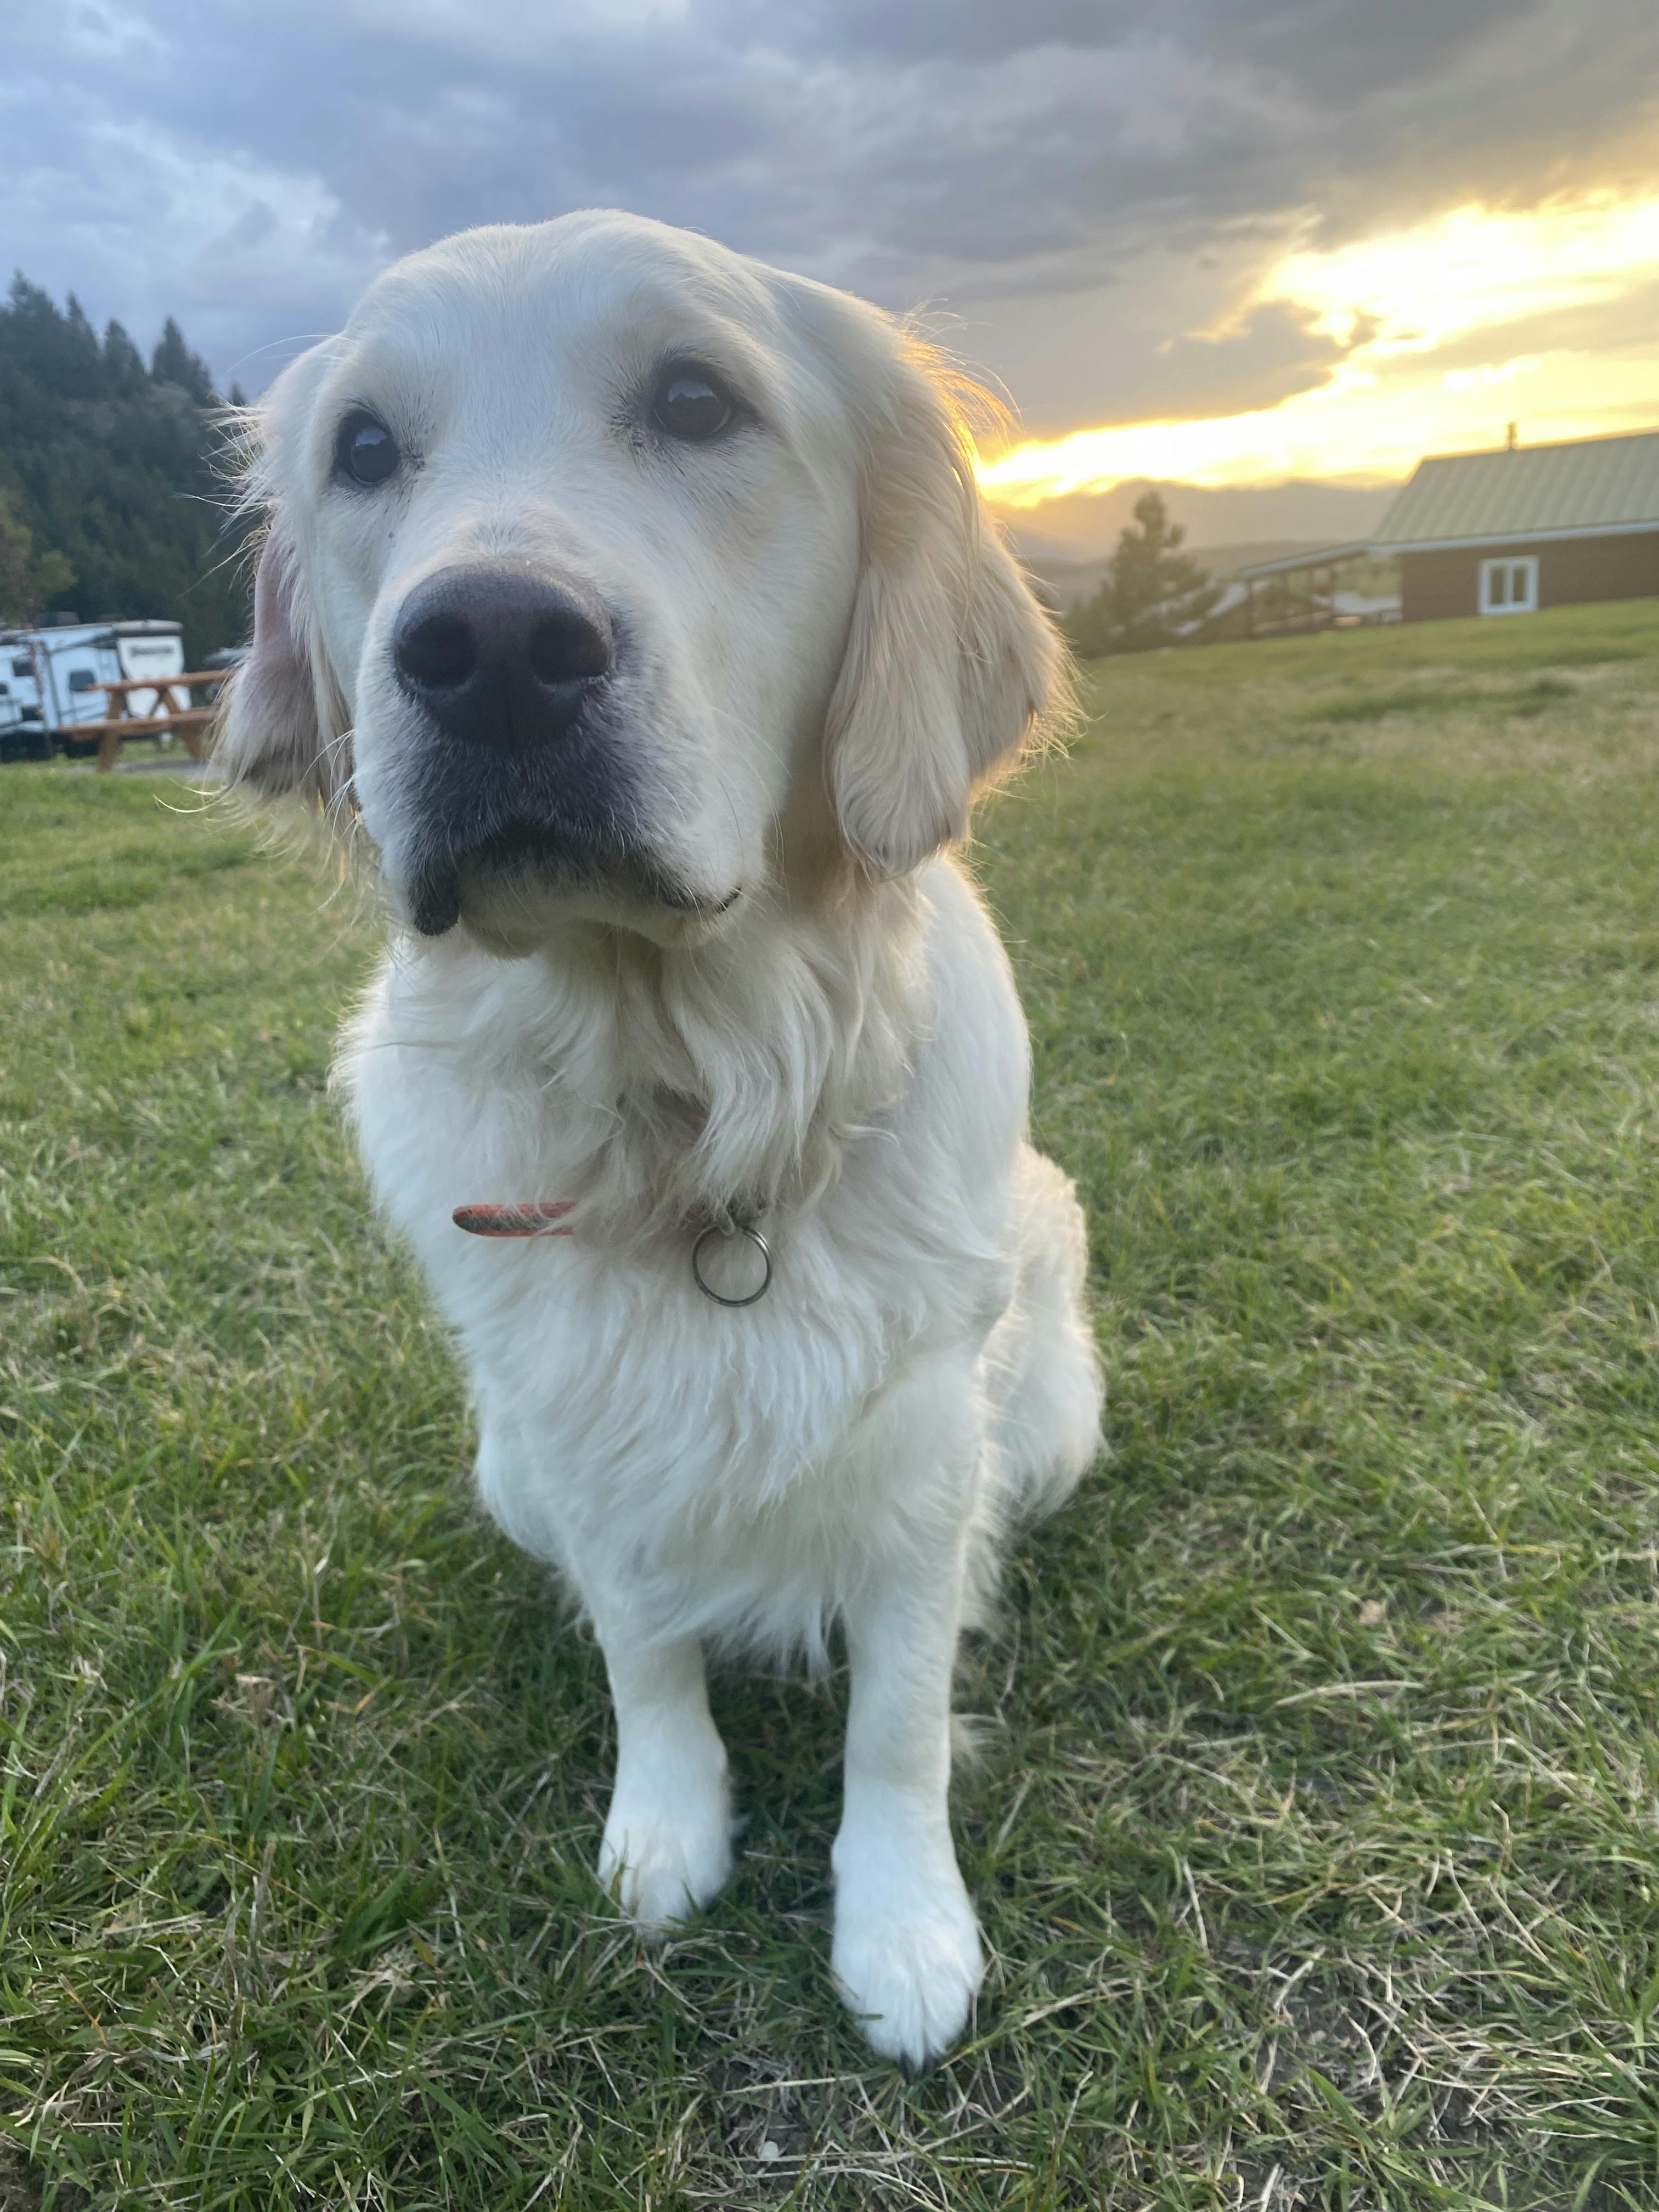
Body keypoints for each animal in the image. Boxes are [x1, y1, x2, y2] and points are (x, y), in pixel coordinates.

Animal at [221, 216, 1106, 2061]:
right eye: (364, 448)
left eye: (698, 402)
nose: (487, 645)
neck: (687, 1101)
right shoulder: (576, 1432)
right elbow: (646, 1651)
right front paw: (666, 1831)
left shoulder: (928, 1454)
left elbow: (897, 1714)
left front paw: (904, 1928)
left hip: (1050, 1420)